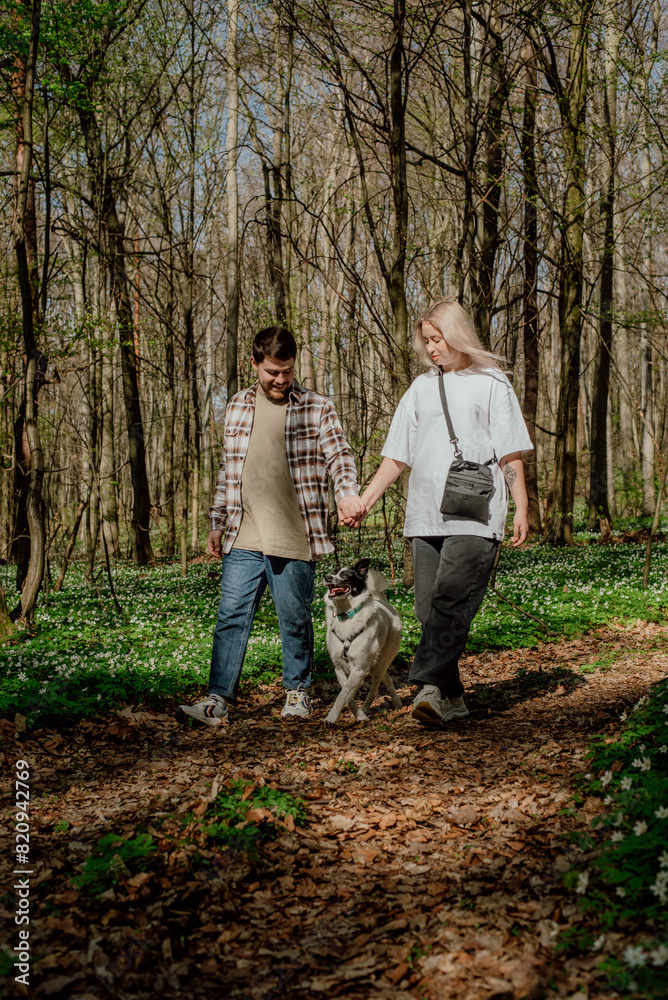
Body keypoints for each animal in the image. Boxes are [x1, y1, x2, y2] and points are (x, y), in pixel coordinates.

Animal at [324, 560, 402, 724]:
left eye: (345, 575)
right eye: (332, 572)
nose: (327, 577)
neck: (346, 615)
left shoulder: (359, 669)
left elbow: (342, 696)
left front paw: (331, 718)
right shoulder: (340, 668)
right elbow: (347, 696)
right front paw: (359, 715)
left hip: (380, 663)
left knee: (375, 688)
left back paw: (369, 706)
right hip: (371, 664)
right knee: (387, 678)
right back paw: (395, 702)